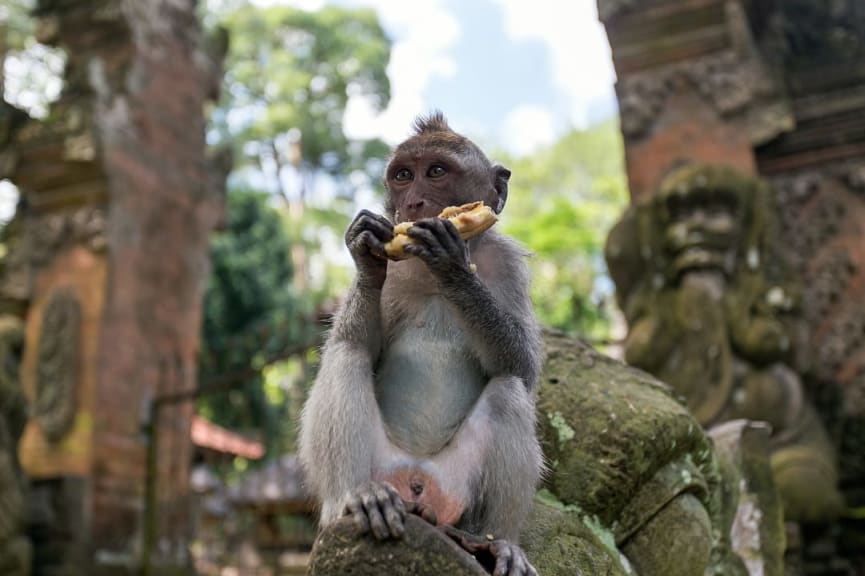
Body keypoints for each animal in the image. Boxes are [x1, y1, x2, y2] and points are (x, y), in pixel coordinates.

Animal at [296, 112, 540, 576]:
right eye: (404, 176)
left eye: (437, 172)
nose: (414, 204)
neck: (425, 274)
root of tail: (415, 480)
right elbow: (355, 341)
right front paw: (365, 250)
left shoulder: (507, 264)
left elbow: (524, 366)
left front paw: (453, 263)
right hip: (380, 463)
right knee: (346, 356)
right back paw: (354, 500)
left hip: (456, 484)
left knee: (508, 389)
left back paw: (498, 542)